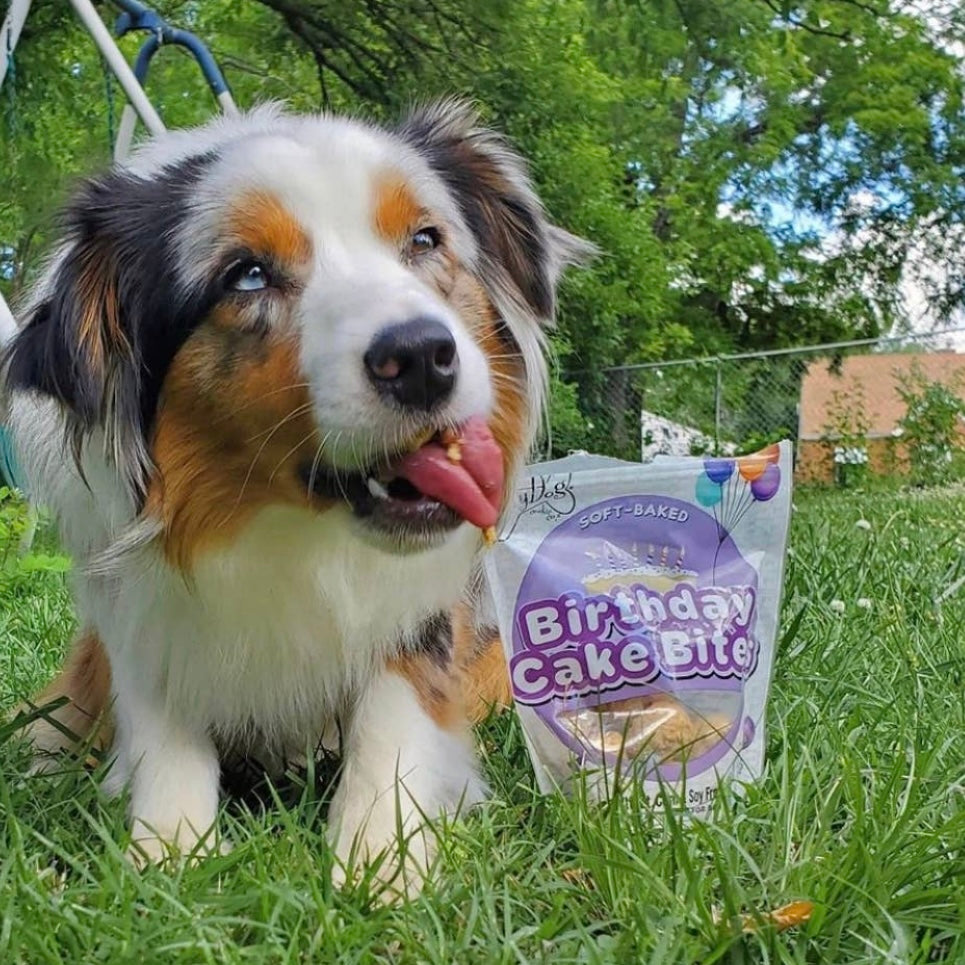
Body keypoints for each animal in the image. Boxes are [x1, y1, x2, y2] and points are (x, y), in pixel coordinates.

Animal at [1, 100, 588, 888]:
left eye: (425, 238)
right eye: (246, 275)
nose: (423, 358)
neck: (293, 529)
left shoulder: (423, 616)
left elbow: (392, 715)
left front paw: (379, 862)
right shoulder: (140, 609)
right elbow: (164, 725)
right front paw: (169, 856)